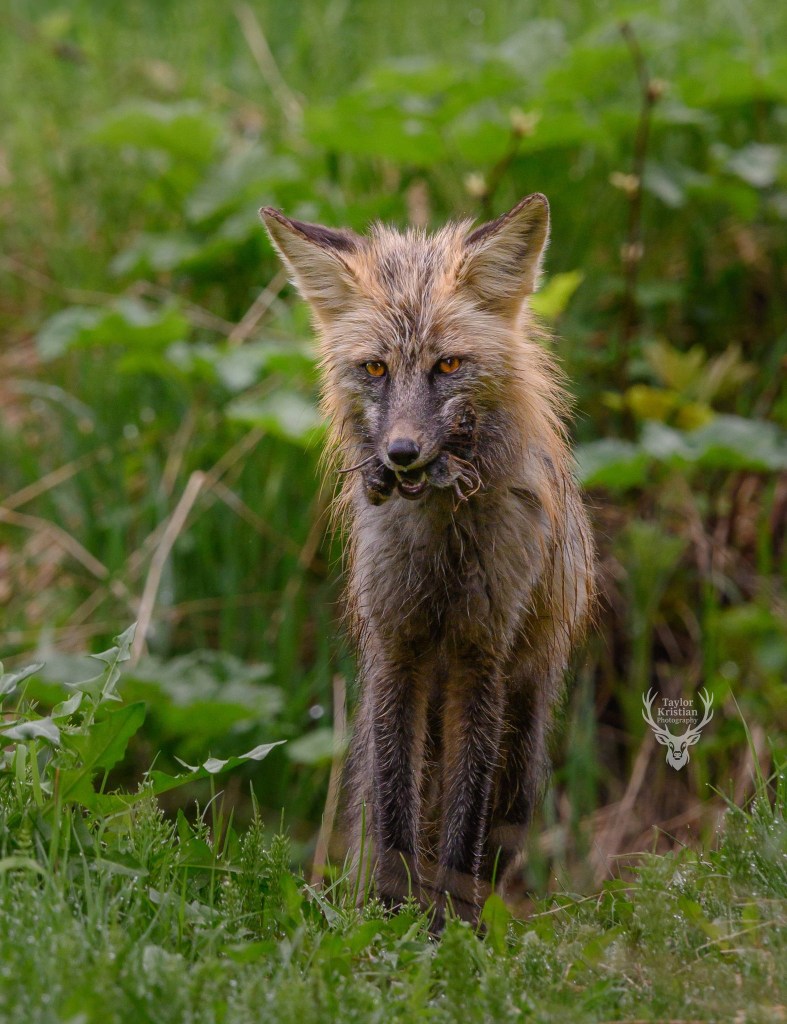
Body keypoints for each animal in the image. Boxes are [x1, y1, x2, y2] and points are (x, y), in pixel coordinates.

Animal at [261, 193, 595, 927]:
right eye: (374, 369)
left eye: (447, 365)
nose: (402, 454)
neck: (442, 559)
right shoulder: (396, 648)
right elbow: (393, 813)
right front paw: (389, 922)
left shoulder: (480, 653)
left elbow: (462, 825)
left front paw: (450, 931)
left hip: (521, 745)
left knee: (493, 835)